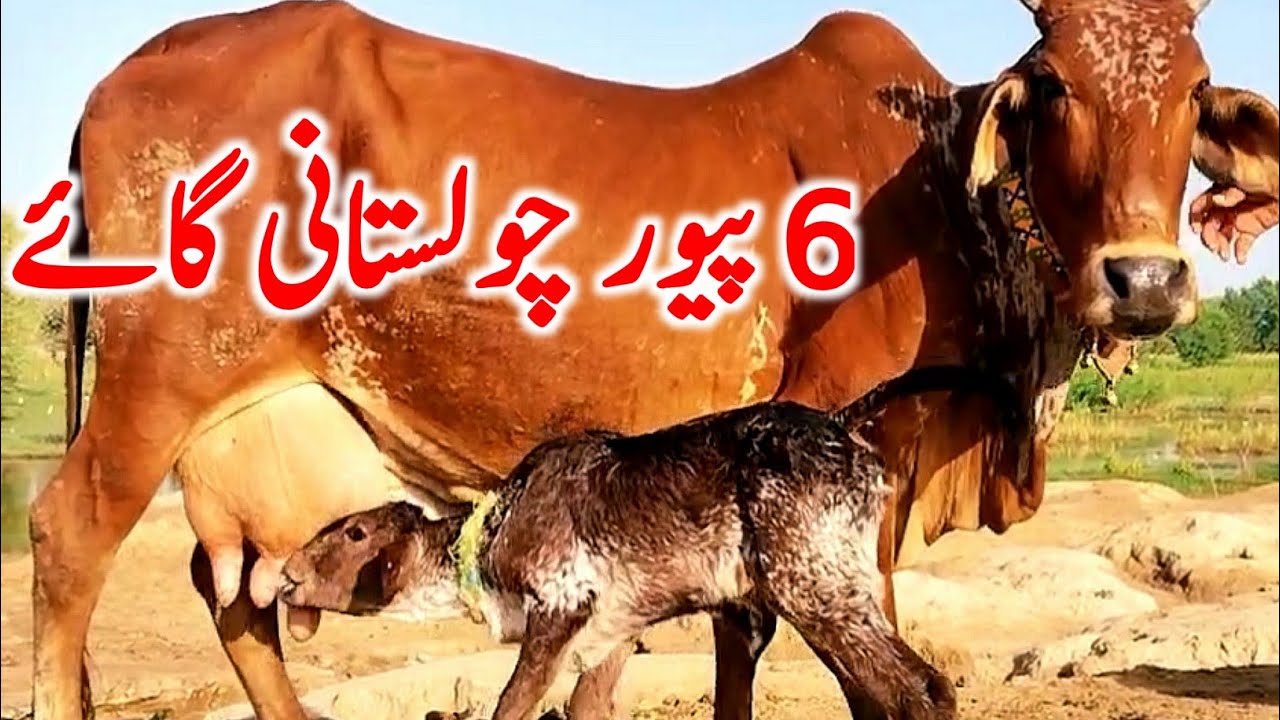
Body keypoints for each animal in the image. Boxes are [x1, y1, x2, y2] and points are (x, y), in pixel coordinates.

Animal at [23, 0, 1277, 718]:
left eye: (1190, 95)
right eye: (1053, 87)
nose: (1143, 280)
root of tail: (112, 81)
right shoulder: (826, 444)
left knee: (235, 593)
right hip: (155, 380)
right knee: (68, 535)